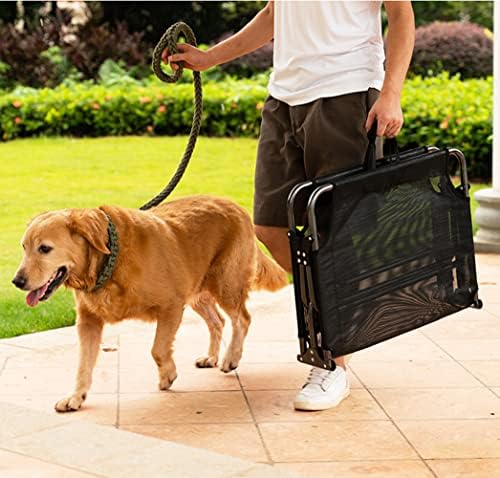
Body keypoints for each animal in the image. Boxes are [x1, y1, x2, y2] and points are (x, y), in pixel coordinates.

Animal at [12, 196, 290, 412]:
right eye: (24, 247)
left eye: (44, 248)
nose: (17, 281)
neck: (110, 260)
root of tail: (236, 206)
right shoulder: (88, 321)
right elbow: (83, 364)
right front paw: (76, 397)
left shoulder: (172, 305)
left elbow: (157, 349)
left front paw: (168, 375)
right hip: (198, 290)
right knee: (218, 321)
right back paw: (212, 357)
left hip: (225, 284)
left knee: (241, 318)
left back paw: (231, 358)